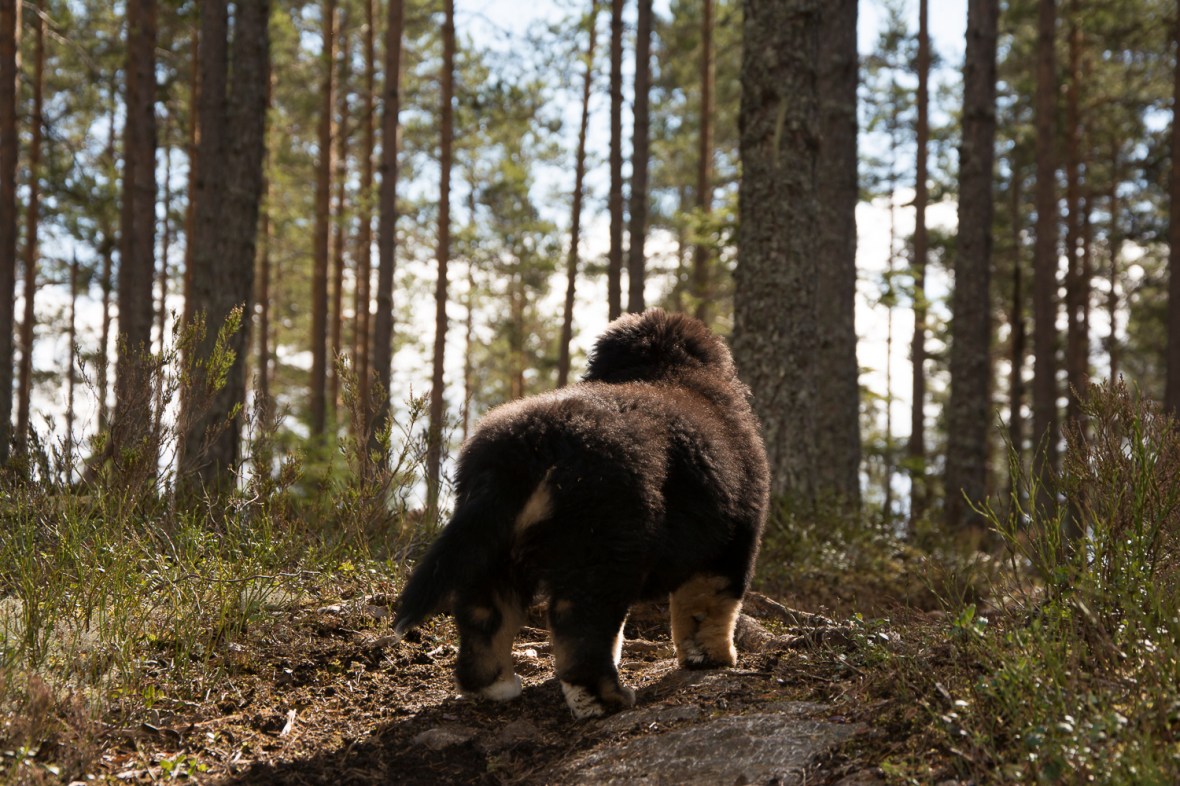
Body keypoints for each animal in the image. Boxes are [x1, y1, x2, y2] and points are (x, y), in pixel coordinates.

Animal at [391, 309, 770, 719]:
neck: (666, 369)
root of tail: (535, 440)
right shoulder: (733, 540)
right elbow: (709, 605)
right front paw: (713, 658)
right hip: (604, 547)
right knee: (581, 625)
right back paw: (606, 699)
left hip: (493, 544)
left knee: (485, 615)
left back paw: (494, 686)